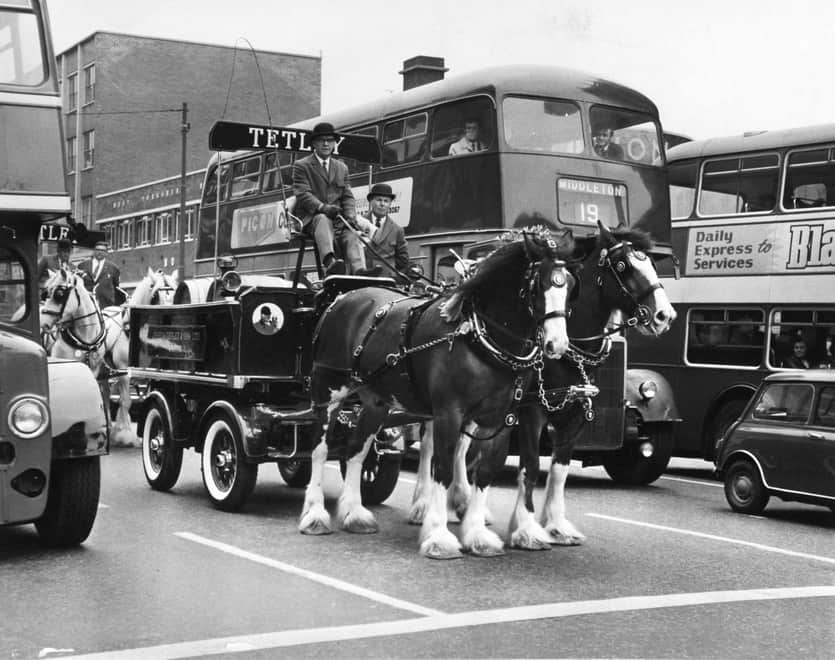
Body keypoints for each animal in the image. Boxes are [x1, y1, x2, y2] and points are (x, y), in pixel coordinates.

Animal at [40, 266, 176, 446]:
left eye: (175, 293)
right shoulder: (122, 370)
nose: (44, 323)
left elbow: (125, 400)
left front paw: (121, 430)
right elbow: (125, 400)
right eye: (155, 296)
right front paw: (125, 434)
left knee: (105, 394)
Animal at [298, 229, 580, 560]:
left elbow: (485, 472)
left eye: (570, 285)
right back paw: (315, 514)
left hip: (376, 402)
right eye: (539, 285)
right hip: (328, 389)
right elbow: (442, 467)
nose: (557, 345)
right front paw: (438, 535)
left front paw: (476, 534)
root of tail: (341, 299)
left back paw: (354, 513)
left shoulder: (500, 418)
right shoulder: (449, 413)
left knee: (357, 448)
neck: (480, 340)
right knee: (319, 449)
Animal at [506, 224, 676, 548]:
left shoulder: (575, 415)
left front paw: (557, 525)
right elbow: (530, 465)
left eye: (652, 263)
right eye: (622, 266)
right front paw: (526, 529)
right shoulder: (532, 411)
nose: (665, 315)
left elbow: (559, 469)